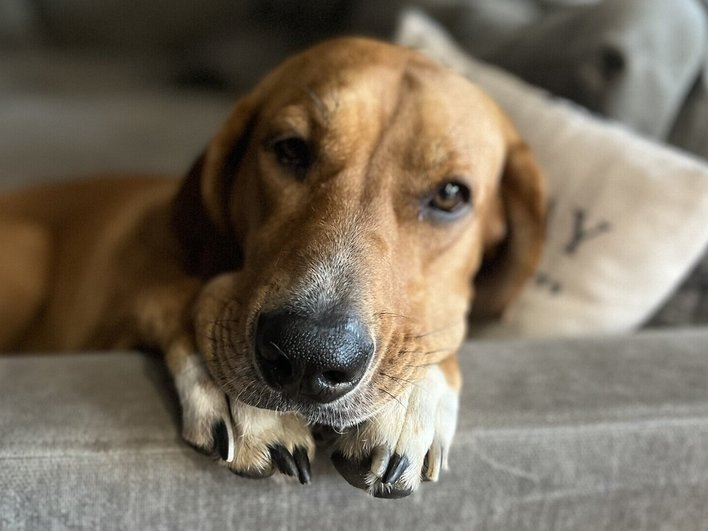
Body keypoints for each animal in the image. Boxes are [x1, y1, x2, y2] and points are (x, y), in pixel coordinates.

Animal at [0, 38, 544, 498]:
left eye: (451, 195)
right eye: (290, 149)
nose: (309, 356)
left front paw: (412, 397)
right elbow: (180, 295)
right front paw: (240, 399)